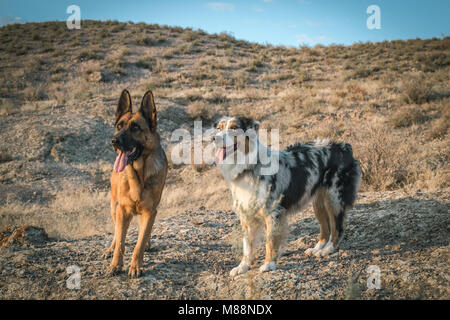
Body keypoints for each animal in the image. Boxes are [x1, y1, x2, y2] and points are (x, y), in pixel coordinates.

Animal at [104, 90, 168, 278]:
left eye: (135, 127)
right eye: (119, 126)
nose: (114, 141)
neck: (138, 175)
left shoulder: (150, 211)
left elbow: (139, 243)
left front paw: (135, 266)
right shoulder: (122, 210)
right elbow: (120, 241)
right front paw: (115, 265)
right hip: (114, 207)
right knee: (116, 233)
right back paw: (110, 248)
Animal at [214, 116, 362, 276]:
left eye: (234, 128)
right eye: (218, 129)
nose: (214, 138)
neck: (249, 167)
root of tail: (343, 146)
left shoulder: (274, 213)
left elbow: (270, 241)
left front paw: (269, 264)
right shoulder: (246, 215)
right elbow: (247, 245)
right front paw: (243, 266)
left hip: (334, 198)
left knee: (337, 229)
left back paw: (327, 250)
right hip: (319, 202)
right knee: (325, 228)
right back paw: (317, 248)